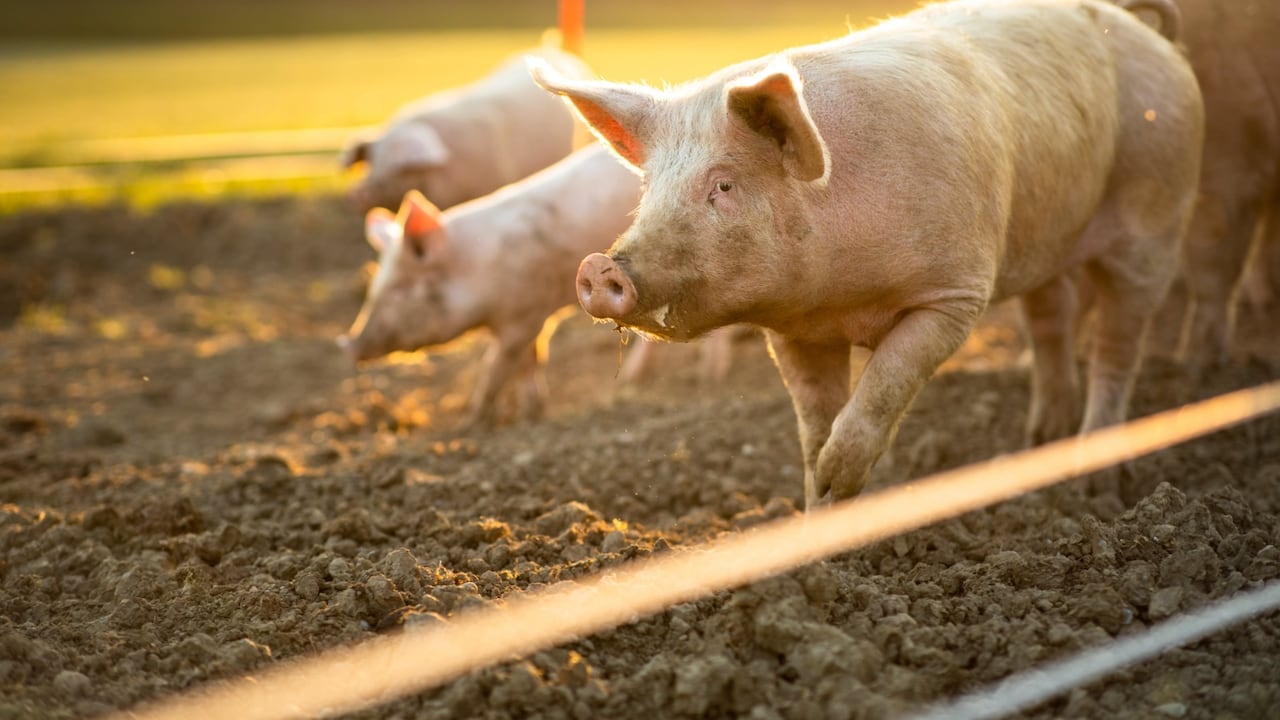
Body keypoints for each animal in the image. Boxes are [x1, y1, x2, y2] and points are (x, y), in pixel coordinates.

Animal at [337, 144, 641, 427]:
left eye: (399, 287)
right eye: (376, 285)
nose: (349, 345)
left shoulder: (524, 316)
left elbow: (495, 366)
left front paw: (470, 423)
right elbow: (529, 362)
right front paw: (531, 413)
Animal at [532, 0, 1203, 508]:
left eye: (723, 185)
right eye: (649, 188)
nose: (599, 268)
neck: (840, 296)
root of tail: (1143, 28)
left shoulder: (956, 293)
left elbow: (883, 385)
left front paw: (837, 477)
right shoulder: (794, 331)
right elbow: (812, 423)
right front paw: (819, 509)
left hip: (1156, 214)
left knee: (1118, 346)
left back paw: (1097, 481)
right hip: (1048, 230)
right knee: (1052, 320)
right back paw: (1042, 441)